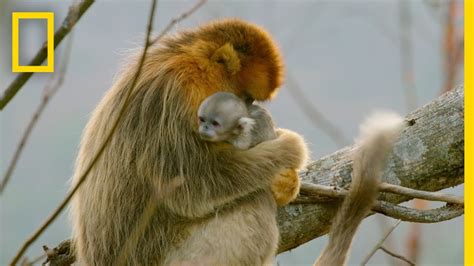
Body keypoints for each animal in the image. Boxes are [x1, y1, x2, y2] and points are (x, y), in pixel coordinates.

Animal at [69, 19, 308, 266]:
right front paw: (290, 147)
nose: (249, 109)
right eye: (246, 97)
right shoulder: (175, 93)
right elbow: (193, 184)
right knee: (254, 199)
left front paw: (287, 182)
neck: (193, 64)